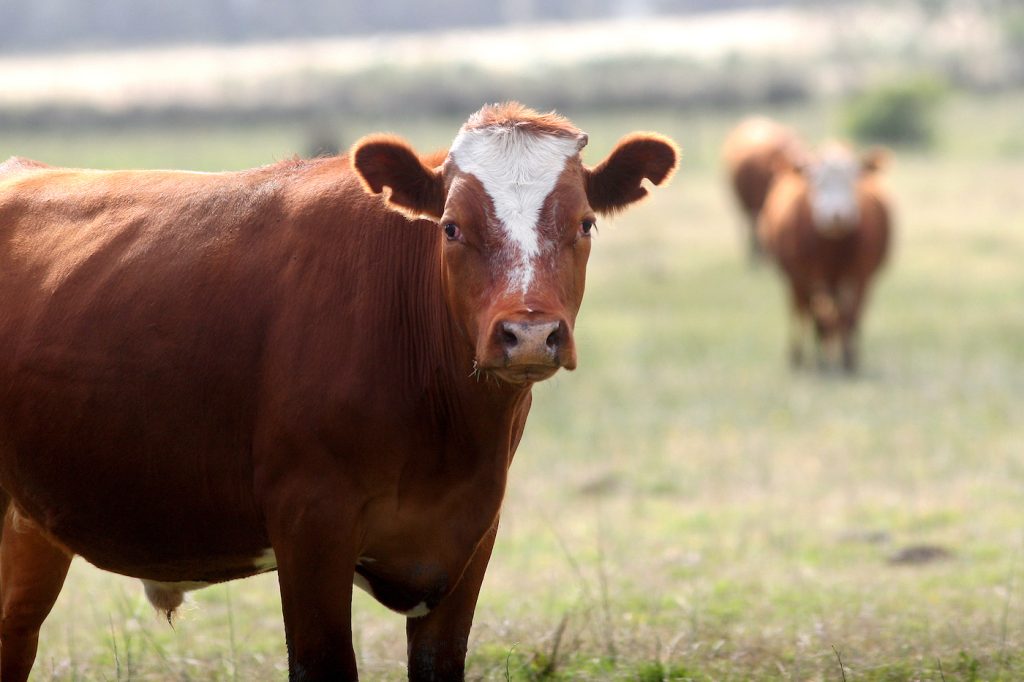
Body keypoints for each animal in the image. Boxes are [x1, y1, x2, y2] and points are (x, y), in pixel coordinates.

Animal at [0, 102, 679, 679]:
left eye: (585, 223)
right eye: (451, 228)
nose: (530, 334)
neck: (446, 436)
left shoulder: (468, 538)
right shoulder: (310, 525)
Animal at [757, 139, 892, 372]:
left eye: (852, 180)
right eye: (817, 182)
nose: (836, 216)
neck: (833, 247)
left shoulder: (861, 276)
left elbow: (851, 316)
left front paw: (849, 359)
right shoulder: (810, 276)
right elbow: (818, 317)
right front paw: (821, 360)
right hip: (797, 281)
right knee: (802, 311)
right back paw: (800, 355)